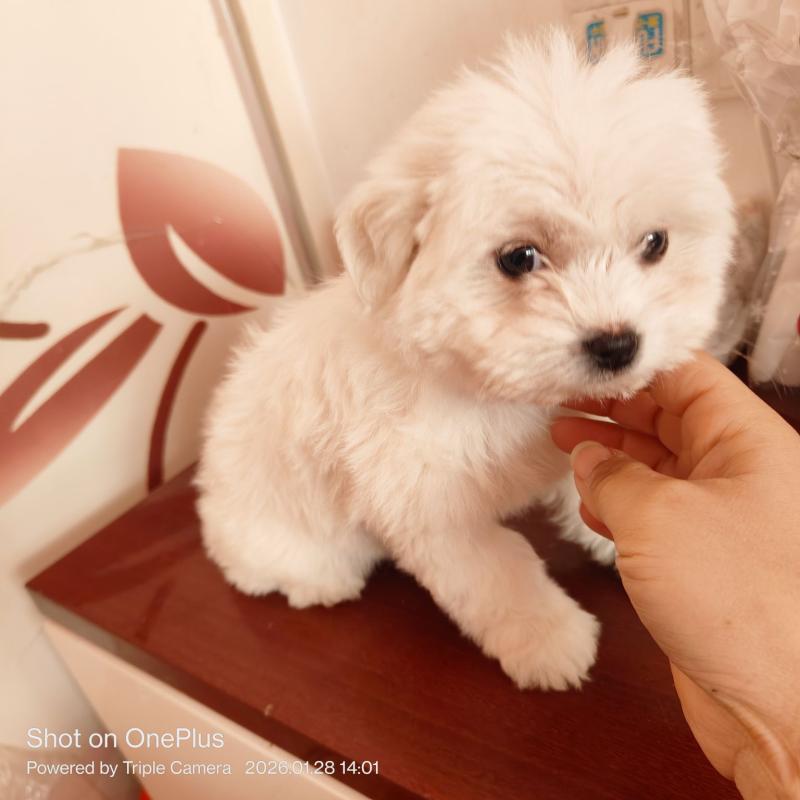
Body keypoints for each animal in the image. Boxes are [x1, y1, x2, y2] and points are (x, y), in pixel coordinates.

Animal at [196, 30, 734, 690]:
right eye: (519, 258)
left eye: (655, 243)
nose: (617, 344)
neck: (486, 387)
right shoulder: (432, 509)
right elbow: (501, 575)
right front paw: (549, 641)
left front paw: (613, 538)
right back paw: (315, 582)